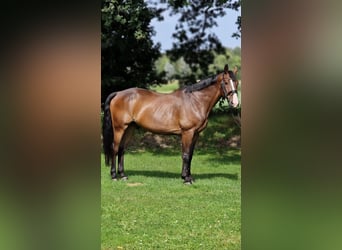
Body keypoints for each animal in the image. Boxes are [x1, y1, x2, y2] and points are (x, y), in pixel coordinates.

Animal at [103, 64, 239, 184]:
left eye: (237, 82)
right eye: (226, 82)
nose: (235, 103)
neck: (195, 101)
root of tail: (118, 93)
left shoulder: (195, 134)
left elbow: (190, 155)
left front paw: (188, 177)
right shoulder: (187, 133)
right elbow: (185, 155)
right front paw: (186, 179)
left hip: (129, 128)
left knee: (122, 149)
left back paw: (123, 175)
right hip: (119, 128)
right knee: (114, 148)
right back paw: (114, 176)